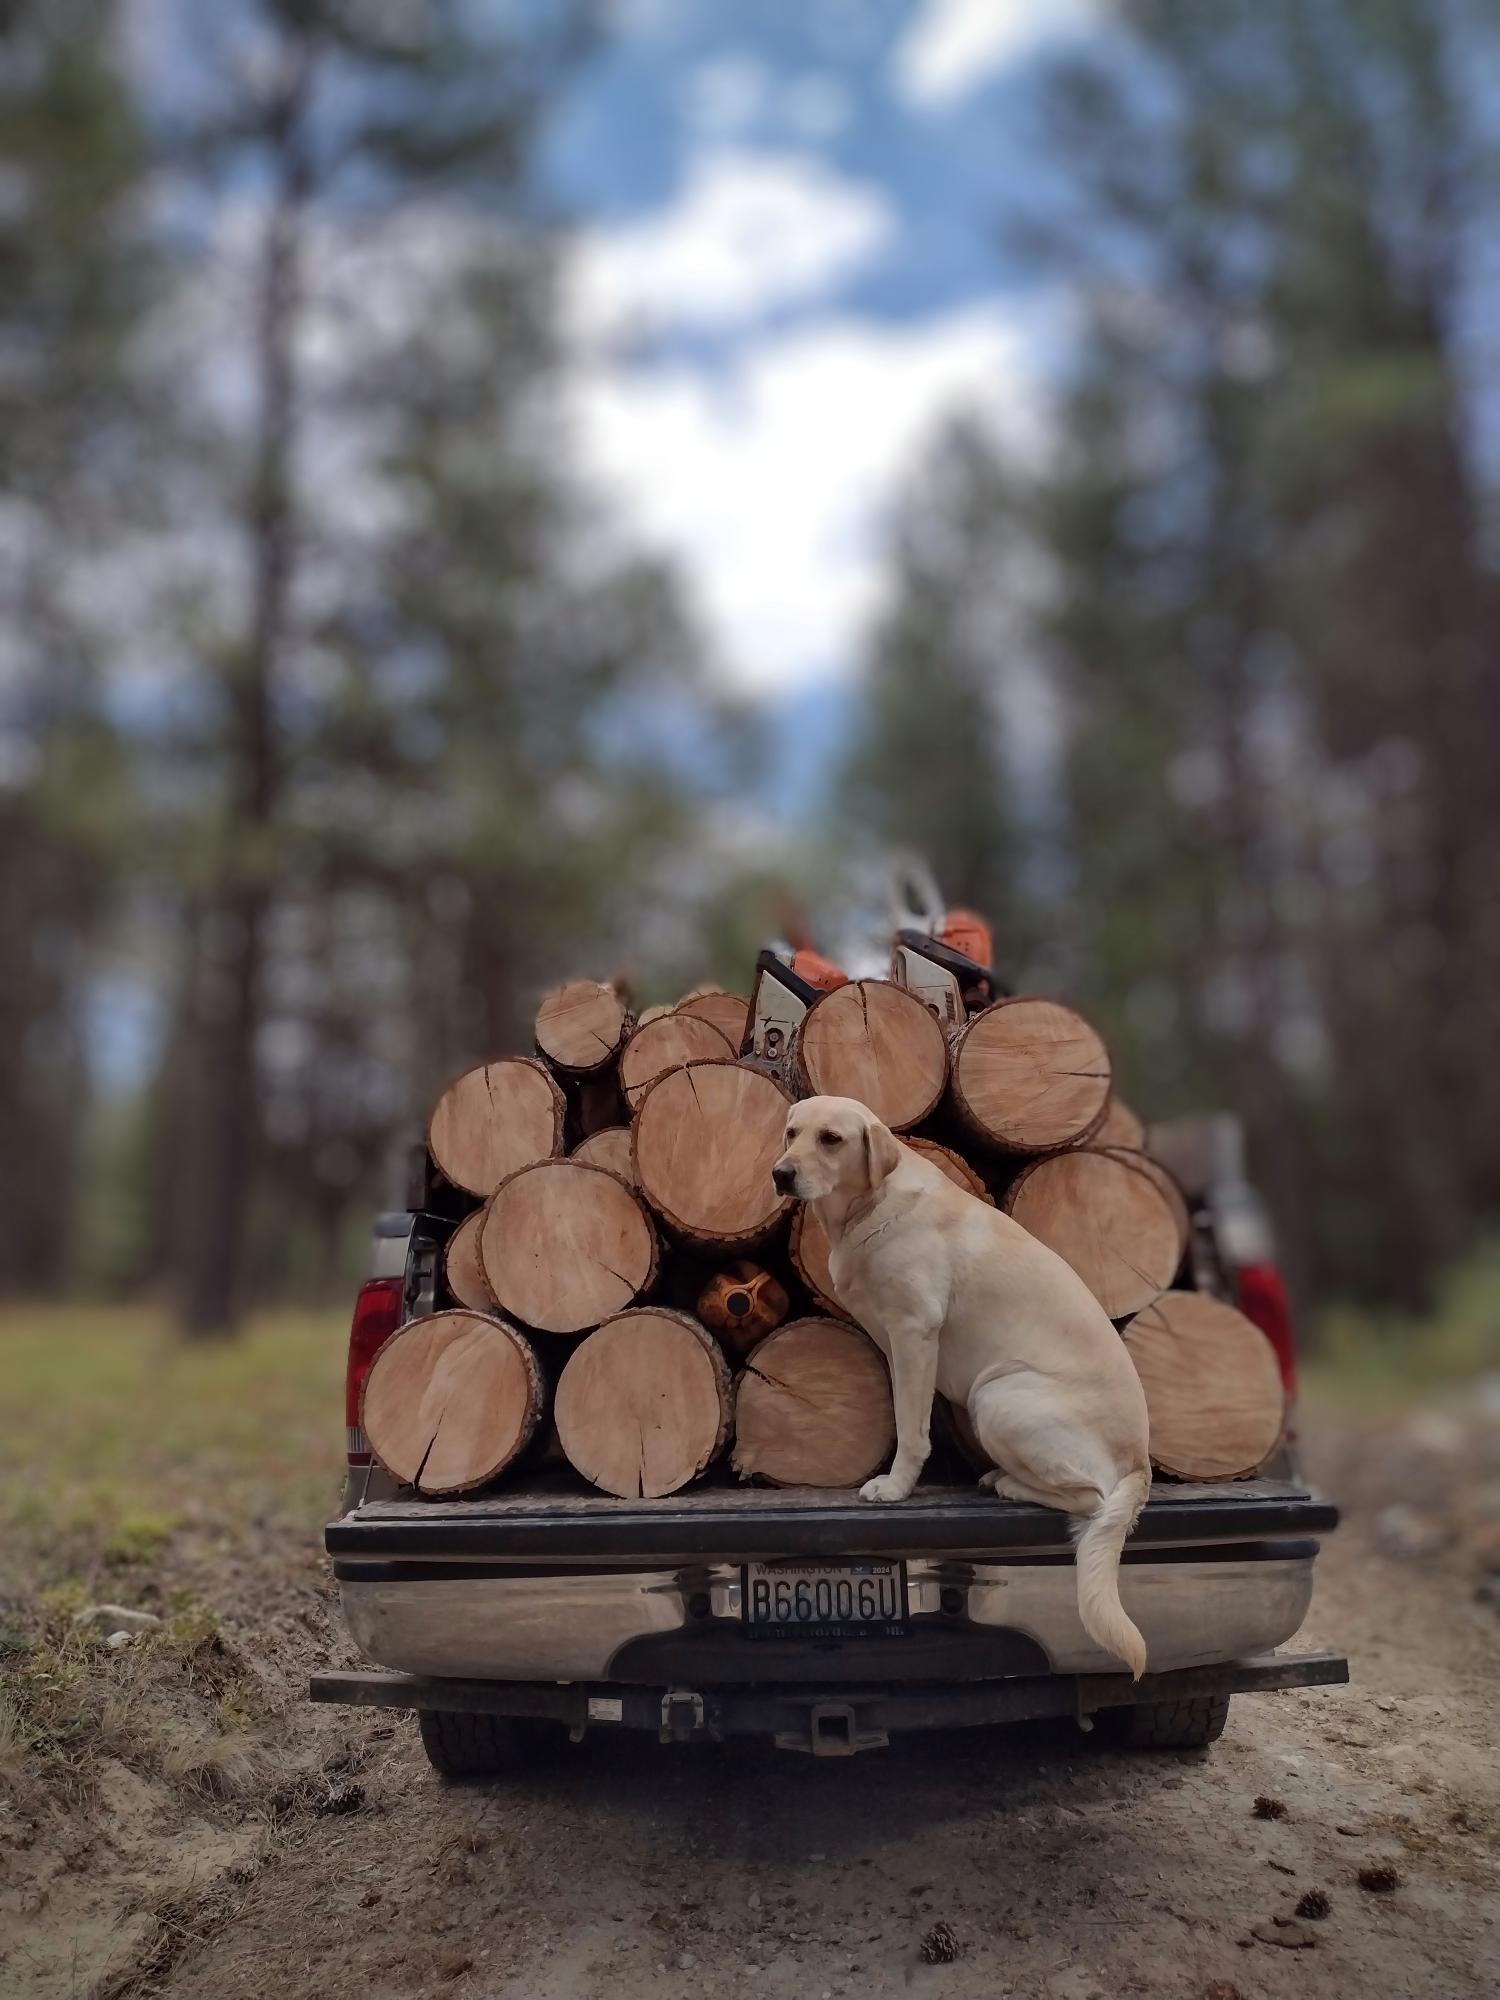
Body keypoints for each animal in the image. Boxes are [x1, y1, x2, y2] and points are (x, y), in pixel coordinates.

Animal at [776, 1096, 1152, 1672]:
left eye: (831, 1139)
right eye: (791, 1133)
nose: (781, 1174)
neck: (869, 1206)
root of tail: (1141, 1462)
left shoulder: (914, 1332)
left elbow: (911, 1430)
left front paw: (895, 1488)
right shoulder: (896, 1344)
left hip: (995, 1395)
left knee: (1089, 1499)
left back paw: (1006, 1482)